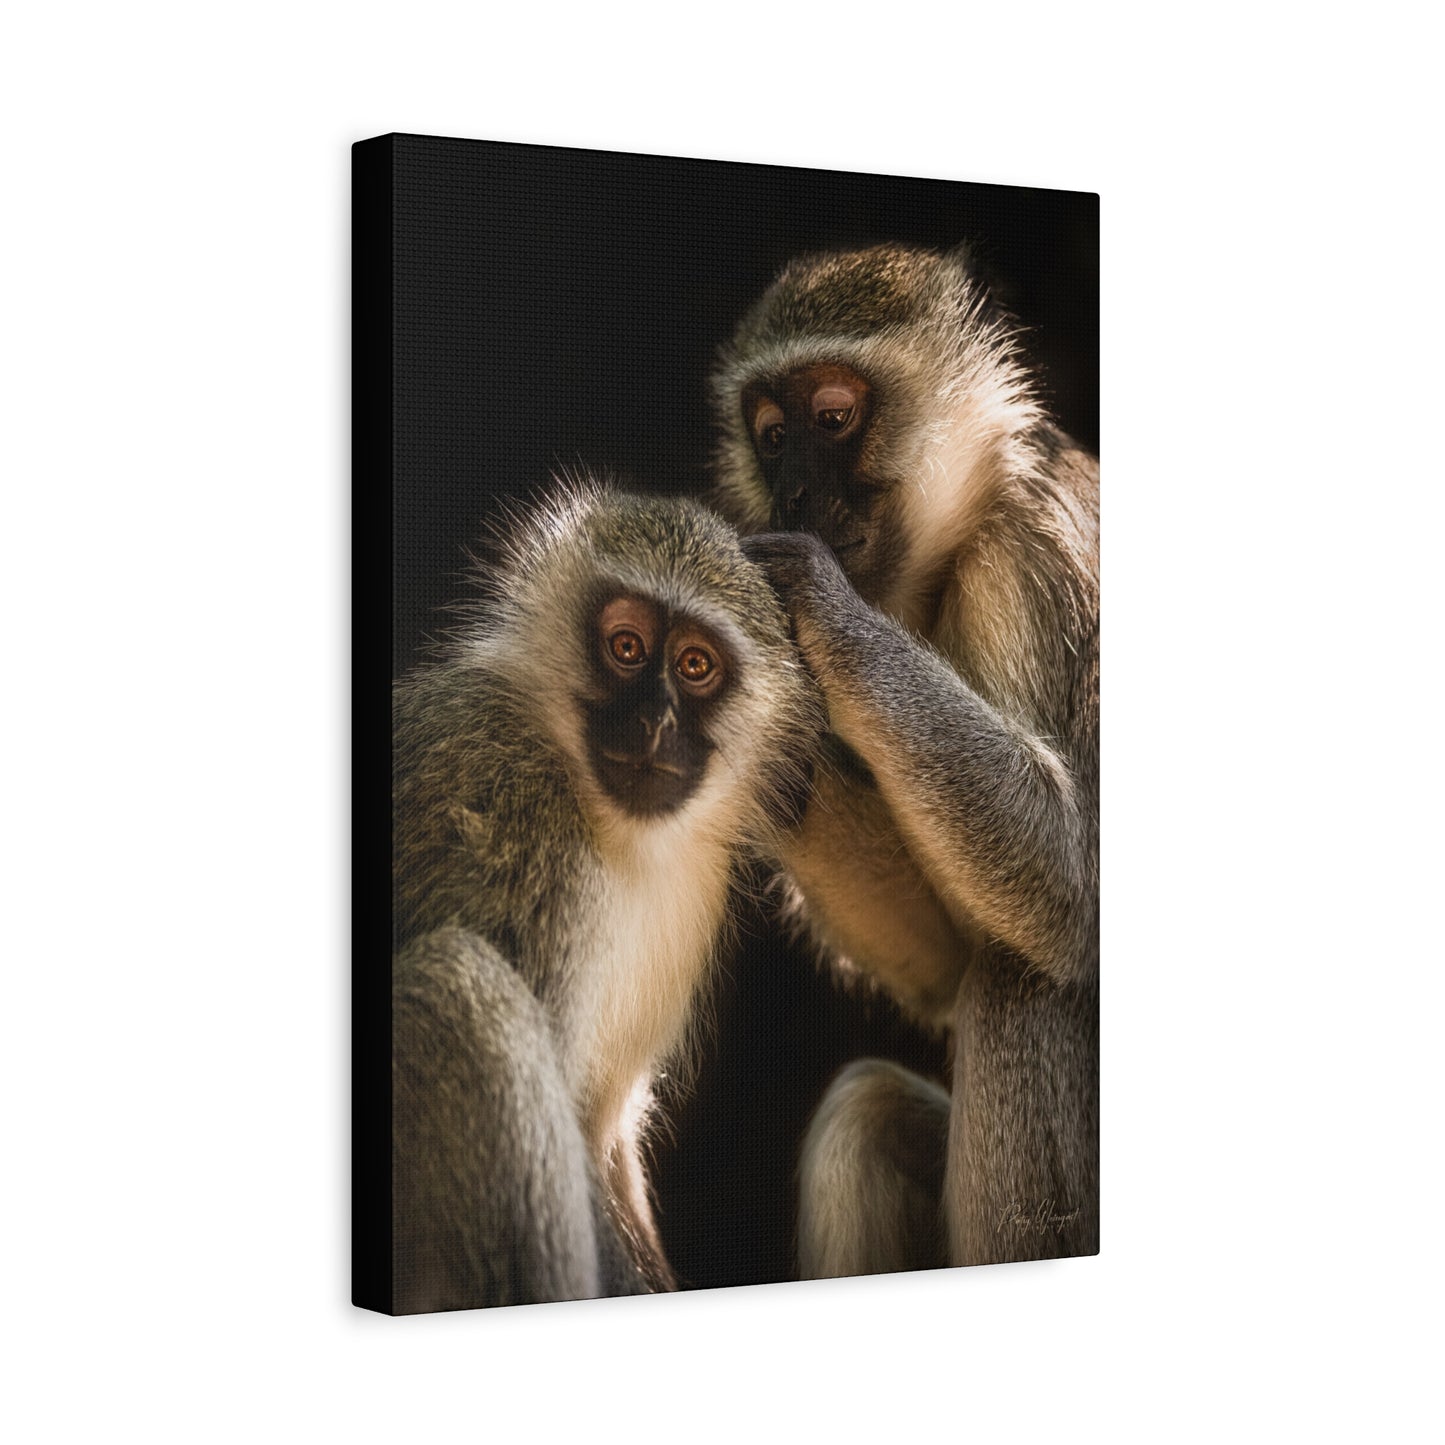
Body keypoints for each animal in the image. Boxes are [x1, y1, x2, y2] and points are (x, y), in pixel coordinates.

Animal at [390, 483, 821, 1312]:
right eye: (625, 647)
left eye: (694, 665)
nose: (653, 722)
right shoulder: (516, 831)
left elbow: (602, 1131)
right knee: (452, 983)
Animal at [710, 243, 1099, 1274]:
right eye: (771, 436)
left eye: (832, 418)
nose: (795, 495)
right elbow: (941, 962)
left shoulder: (1028, 566)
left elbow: (1070, 884)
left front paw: (817, 608)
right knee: (868, 1112)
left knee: (1018, 987)